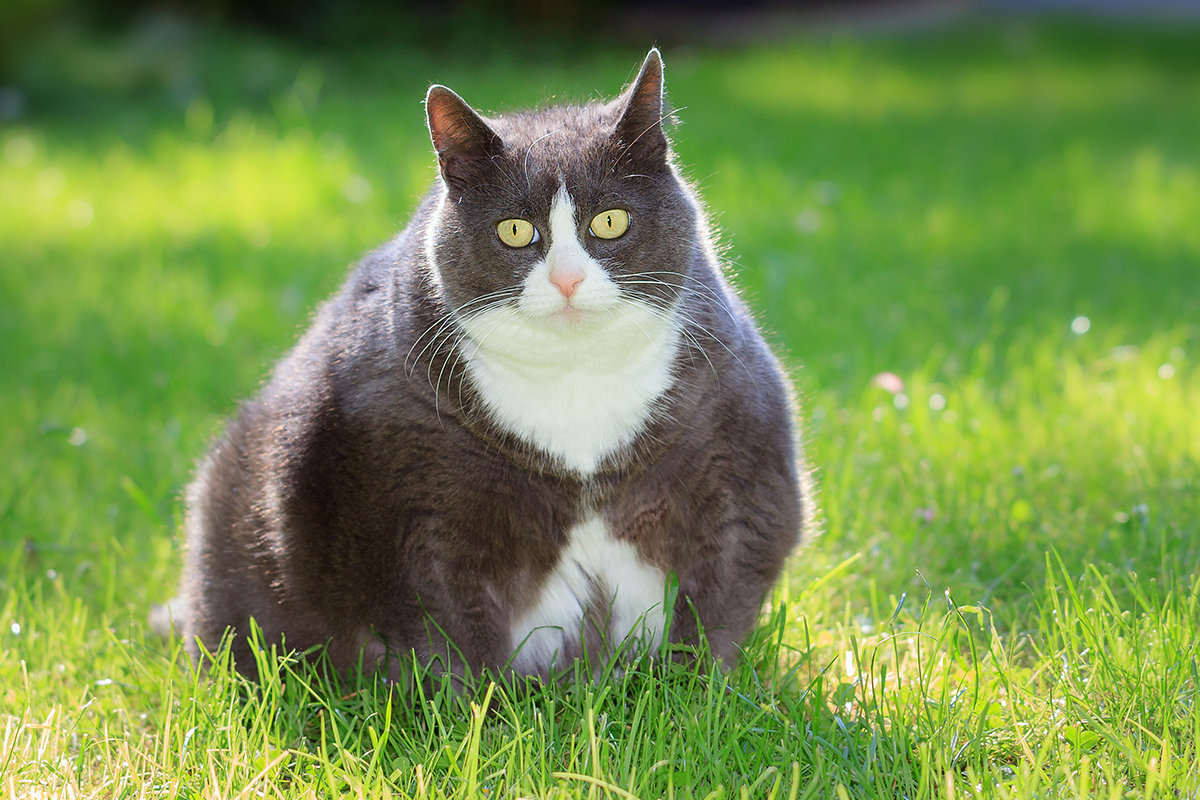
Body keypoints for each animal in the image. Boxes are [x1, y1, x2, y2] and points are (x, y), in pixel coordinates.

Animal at [166, 50, 806, 686]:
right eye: (515, 230)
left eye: (611, 221)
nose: (566, 279)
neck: (575, 388)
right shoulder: (409, 514)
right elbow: (450, 639)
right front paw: (490, 712)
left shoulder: (740, 466)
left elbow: (718, 606)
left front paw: (698, 692)